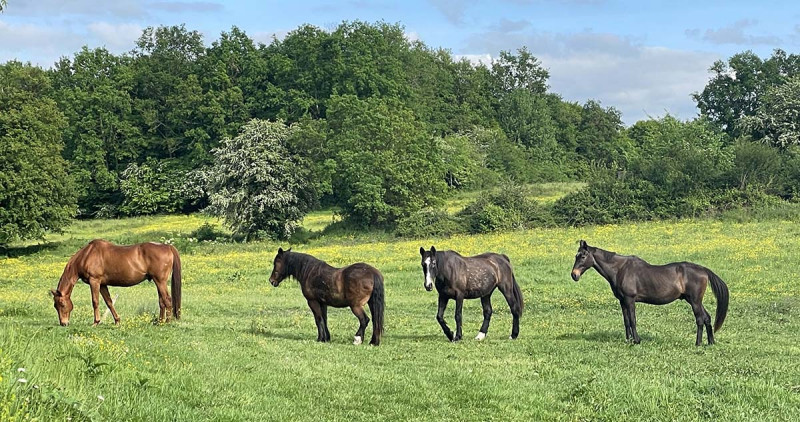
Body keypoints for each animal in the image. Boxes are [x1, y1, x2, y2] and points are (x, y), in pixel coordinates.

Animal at [52, 239, 184, 324]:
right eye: (55, 305)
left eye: (62, 304)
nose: (63, 323)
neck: (87, 255)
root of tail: (168, 247)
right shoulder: (102, 284)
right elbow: (109, 302)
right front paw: (117, 321)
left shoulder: (95, 281)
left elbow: (95, 302)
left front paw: (96, 322)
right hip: (158, 282)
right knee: (162, 301)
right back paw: (160, 321)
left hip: (160, 281)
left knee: (167, 300)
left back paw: (167, 322)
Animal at [568, 241, 732, 346]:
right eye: (576, 256)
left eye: (583, 256)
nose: (574, 275)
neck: (620, 269)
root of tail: (703, 270)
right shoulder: (622, 301)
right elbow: (626, 321)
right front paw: (628, 340)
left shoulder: (630, 299)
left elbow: (633, 320)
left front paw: (636, 340)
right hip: (693, 300)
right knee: (707, 317)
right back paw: (710, 342)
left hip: (694, 301)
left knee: (699, 319)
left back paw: (698, 343)